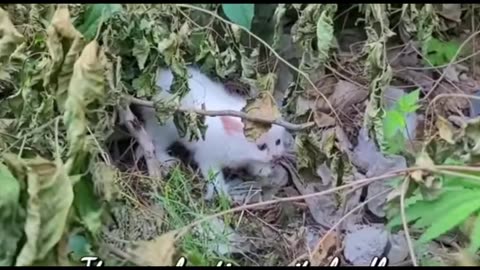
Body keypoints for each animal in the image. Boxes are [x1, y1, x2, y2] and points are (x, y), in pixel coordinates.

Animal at [139, 67, 288, 200]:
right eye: (261, 147)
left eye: (278, 141)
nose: (277, 157)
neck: (228, 140)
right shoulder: (207, 157)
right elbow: (214, 176)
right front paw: (222, 192)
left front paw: (263, 169)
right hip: (163, 130)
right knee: (156, 144)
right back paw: (166, 160)